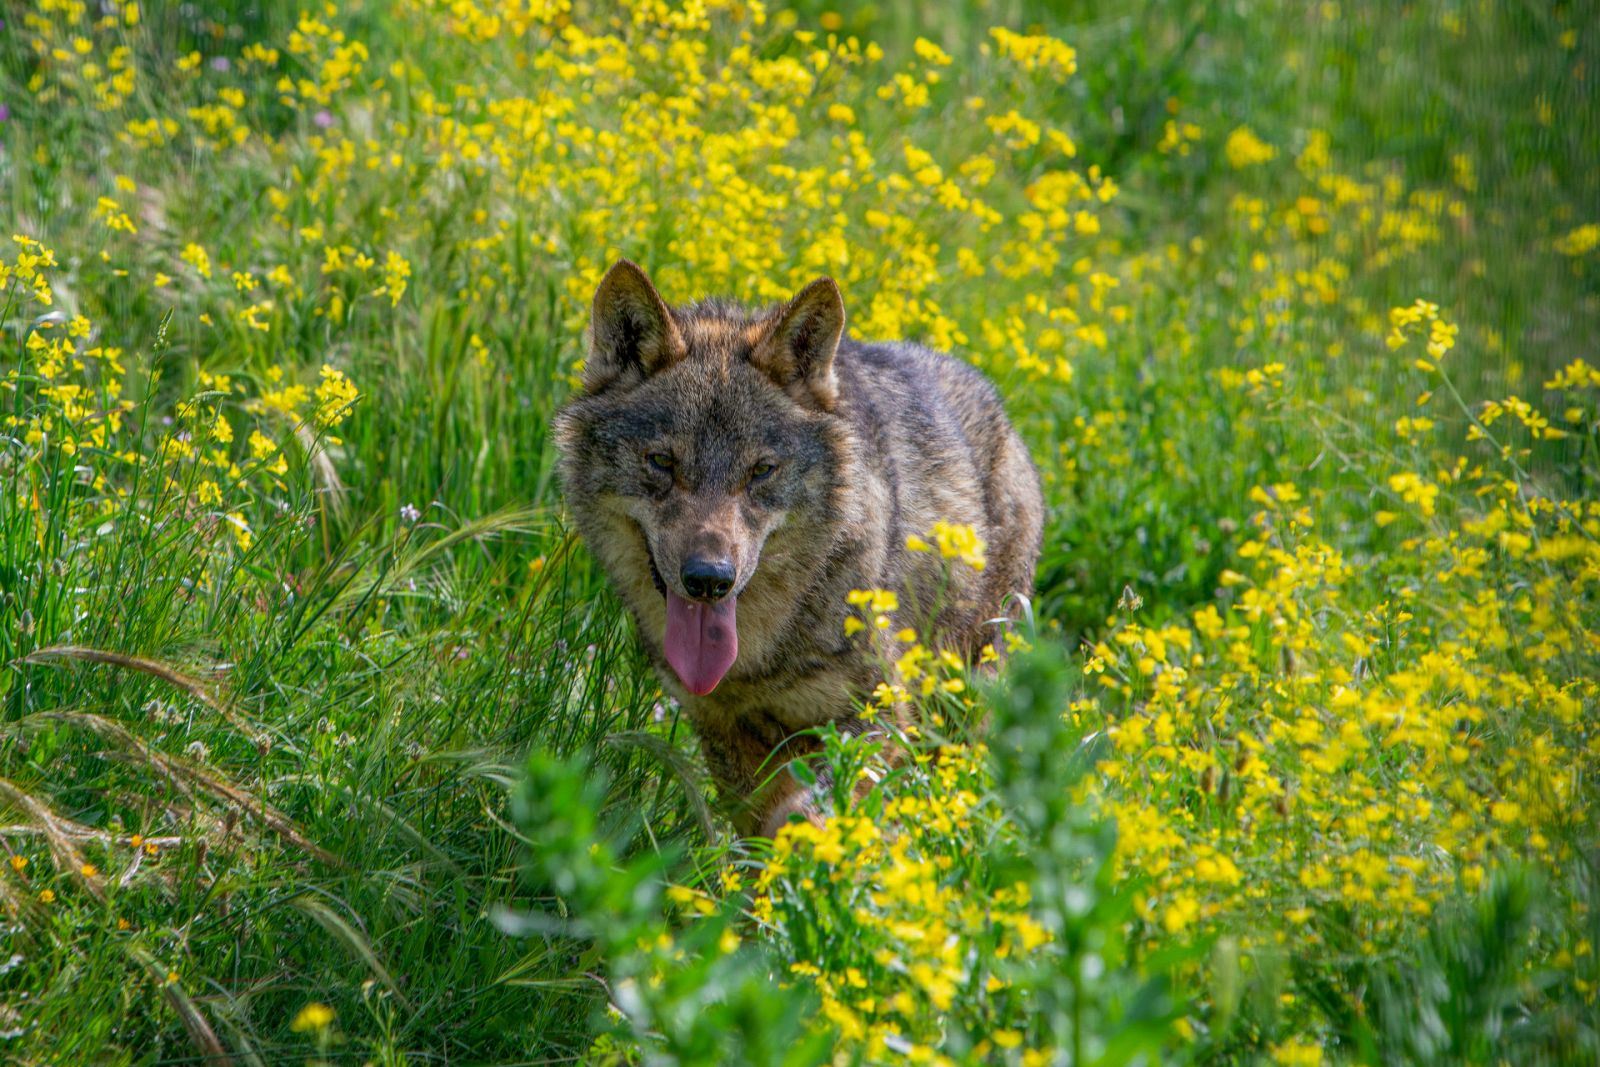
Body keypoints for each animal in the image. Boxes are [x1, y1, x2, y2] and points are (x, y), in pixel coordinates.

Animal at [556, 262, 1043, 838]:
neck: (758, 657)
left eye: (762, 470)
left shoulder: (876, 715)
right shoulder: (723, 730)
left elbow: (807, 814)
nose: (709, 579)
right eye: (661, 463)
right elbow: (760, 827)